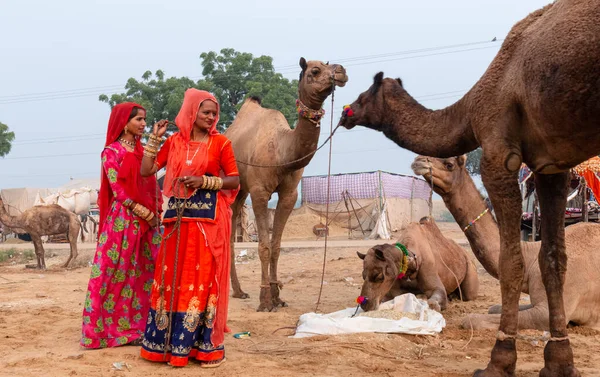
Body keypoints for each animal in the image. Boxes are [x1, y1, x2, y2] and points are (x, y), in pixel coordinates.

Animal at [224, 58, 346, 312]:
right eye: (315, 71)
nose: (341, 71)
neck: (282, 152)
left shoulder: (289, 194)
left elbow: (277, 245)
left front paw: (277, 296)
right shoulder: (260, 192)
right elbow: (264, 246)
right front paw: (264, 301)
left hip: (241, 190)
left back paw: (239, 291)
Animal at [412, 154, 600, 330]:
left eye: (449, 164)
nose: (418, 161)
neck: (531, 257)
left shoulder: (550, 310)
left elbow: (470, 320)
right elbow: (494, 308)